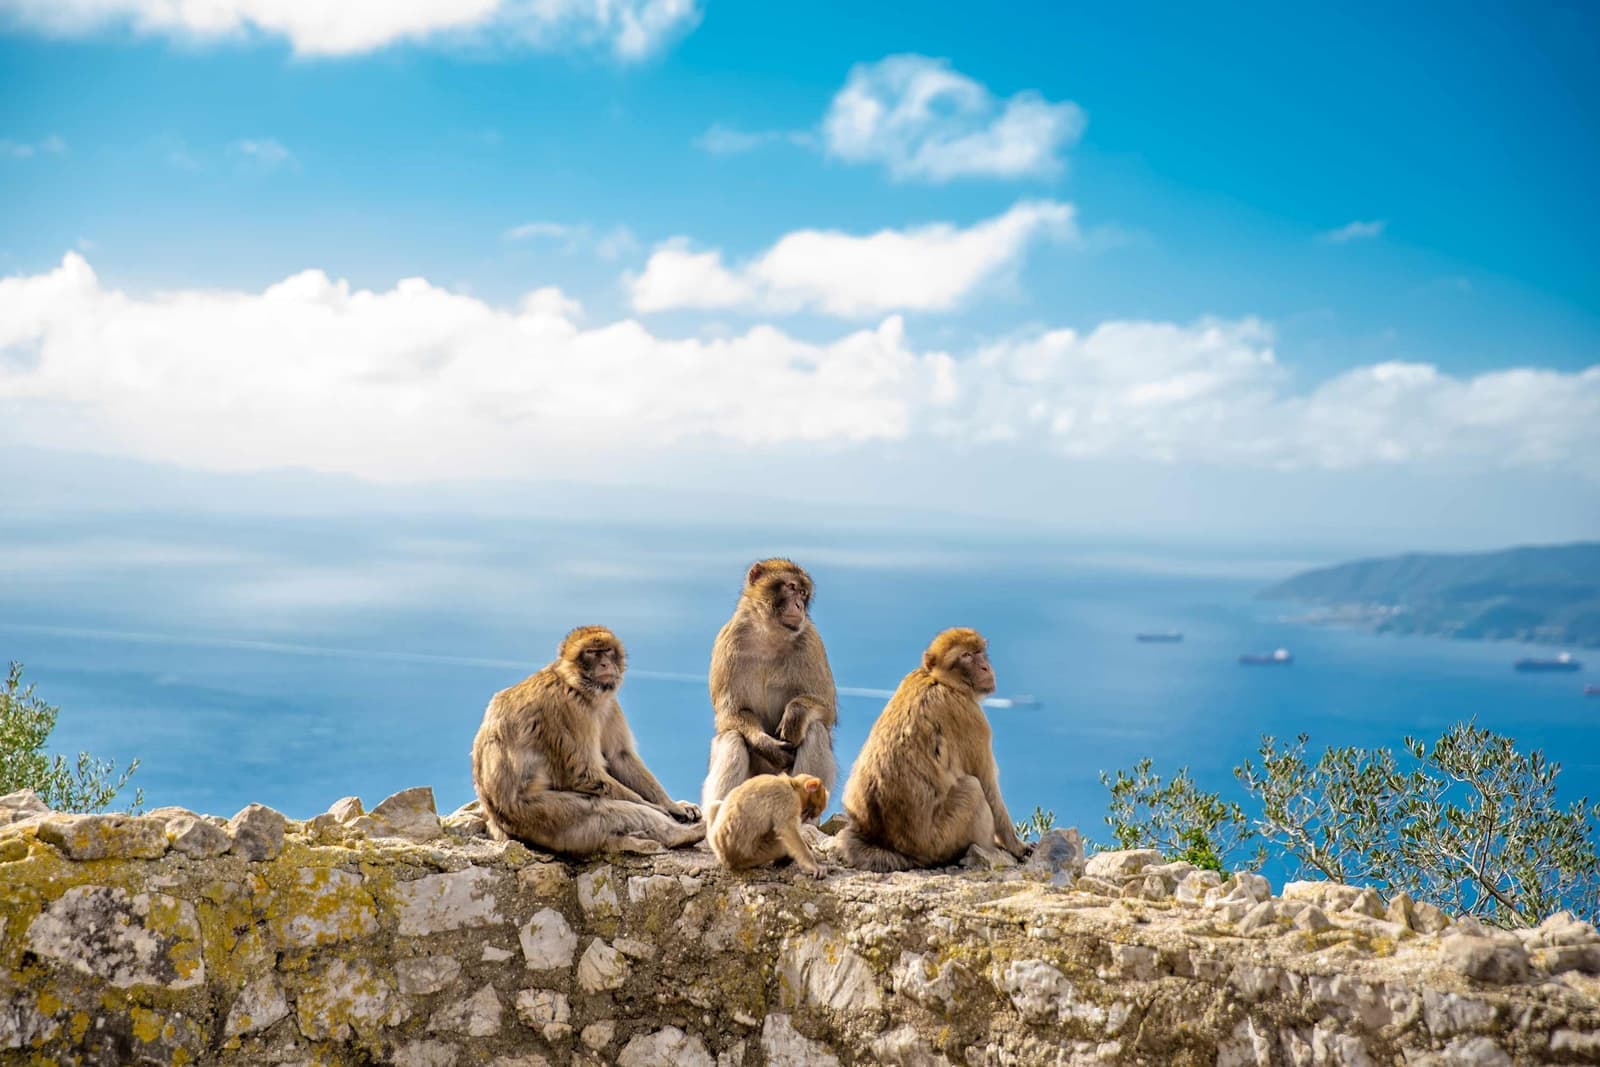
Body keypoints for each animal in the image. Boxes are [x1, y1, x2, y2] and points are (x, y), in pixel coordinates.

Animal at [471, 626, 704, 856]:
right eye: (591, 652)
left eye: (607, 650)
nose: (605, 664)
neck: (575, 685)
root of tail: (498, 825)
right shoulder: (568, 708)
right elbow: (583, 772)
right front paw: (659, 810)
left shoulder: (609, 704)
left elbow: (619, 756)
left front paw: (672, 806)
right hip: (538, 817)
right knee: (602, 809)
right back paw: (681, 835)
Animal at [701, 559, 838, 828]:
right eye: (791, 587)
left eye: (803, 593)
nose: (799, 606)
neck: (769, 634)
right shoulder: (727, 641)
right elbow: (731, 714)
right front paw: (766, 744)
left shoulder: (811, 642)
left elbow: (827, 709)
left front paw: (795, 714)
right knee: (733, 736)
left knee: (815, 729)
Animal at [836, 628, 1030, 872]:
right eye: (966, 655)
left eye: (979, 652)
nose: (986, 667)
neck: (940, 680)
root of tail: (892, 847)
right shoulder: (972, 718)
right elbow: (987, 785)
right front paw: (1016, 846)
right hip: (942, 839)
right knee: (973, 788)